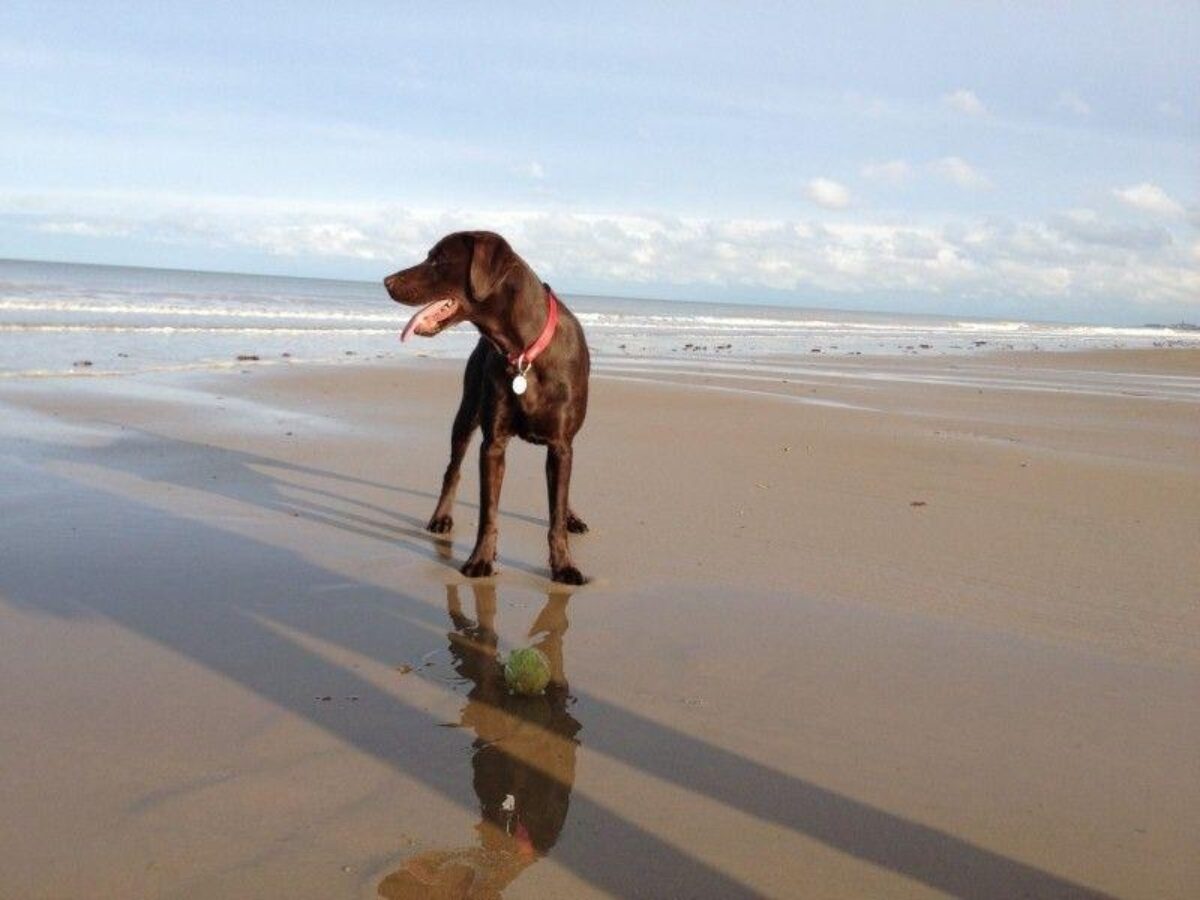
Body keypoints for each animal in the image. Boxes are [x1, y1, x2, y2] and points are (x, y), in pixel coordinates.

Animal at [384, 232, 590, 585]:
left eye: (439, 259)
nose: (386, 281)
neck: (523, 350)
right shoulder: (492, 444)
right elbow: (488, 512)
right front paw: (481, 559)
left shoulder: (561, 444)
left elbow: (556, 512)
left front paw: (563, 565)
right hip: (467, 413)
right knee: (452, 470)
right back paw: (441, 517)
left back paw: (571, 517)